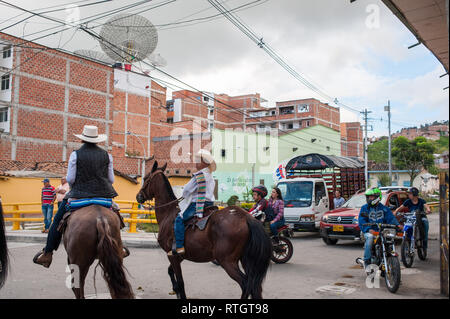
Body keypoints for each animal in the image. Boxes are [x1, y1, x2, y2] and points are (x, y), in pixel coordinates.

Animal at [135, 162, 272, 300]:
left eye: (146, 178)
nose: (138, 196)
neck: (168, 213)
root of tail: (245, 217)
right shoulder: (179, 257)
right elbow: (170, 272)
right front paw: (175, 290)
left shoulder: (172, 256)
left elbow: (180, 282)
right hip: (246, 260)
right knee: (255, 286)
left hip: (227, 261)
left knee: (245, 284)